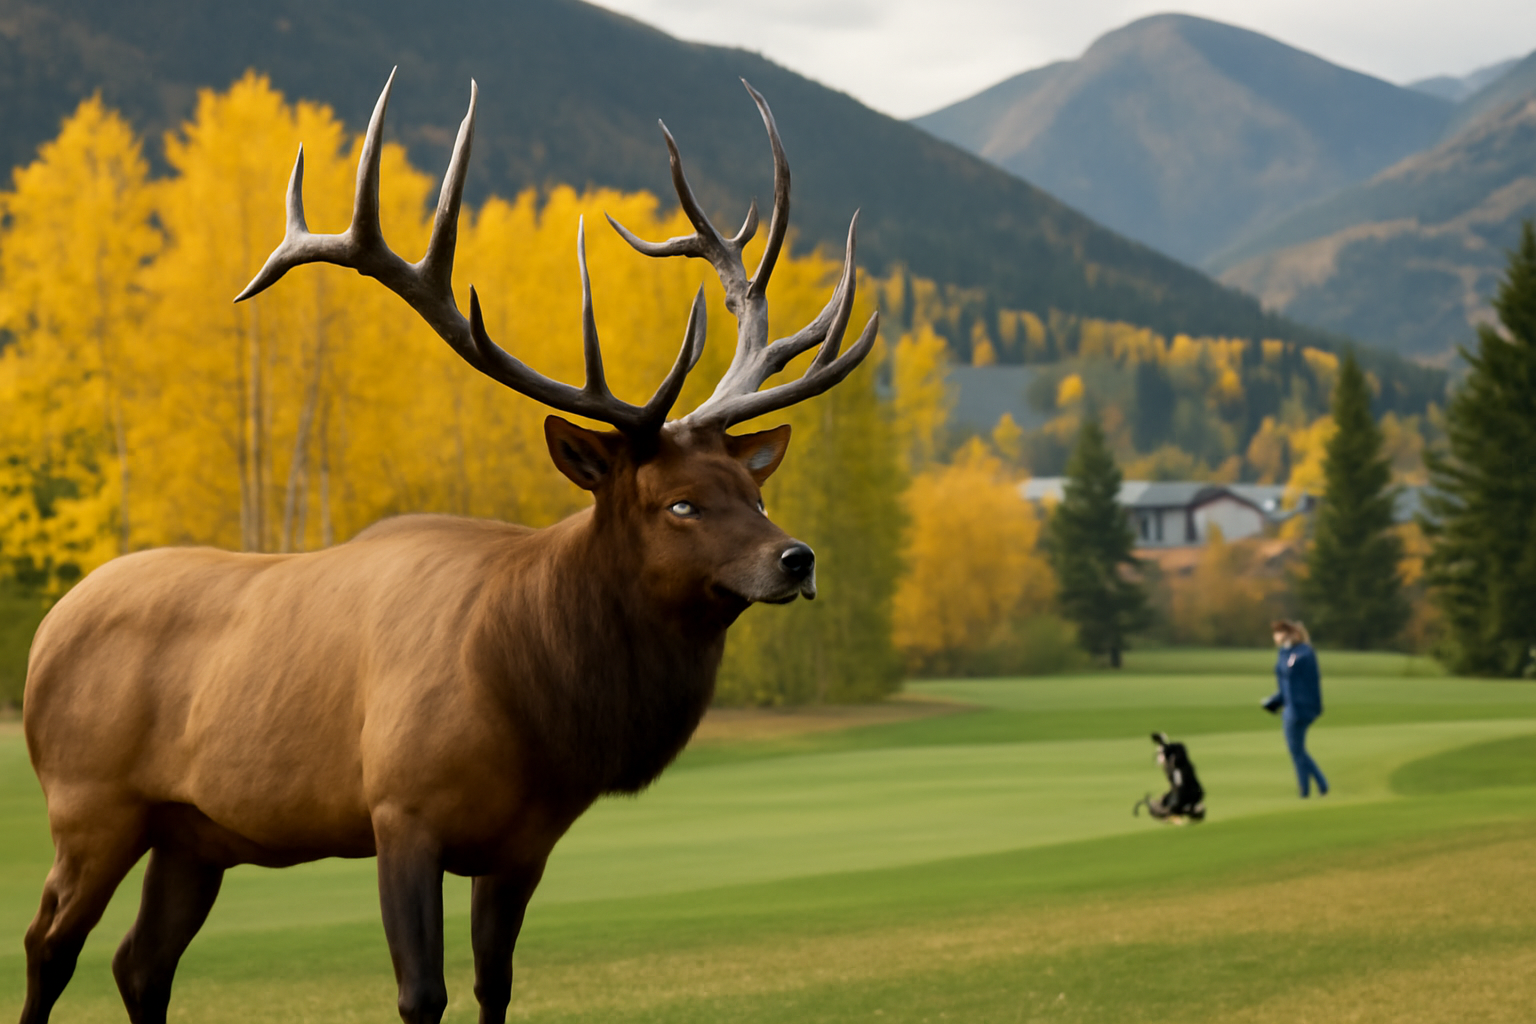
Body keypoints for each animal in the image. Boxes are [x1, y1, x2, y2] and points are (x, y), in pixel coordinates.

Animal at [18, 70, 877, 1024]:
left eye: (754, 492)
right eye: (678, 504)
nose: (796, 559)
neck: (534, 700)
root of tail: (47, 631)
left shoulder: (523, 844)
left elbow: (494, 986)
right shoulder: (402, 809)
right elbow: (420, 993)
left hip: (193, 832)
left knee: (140, 961)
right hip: (89, 804)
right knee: (49, 943)